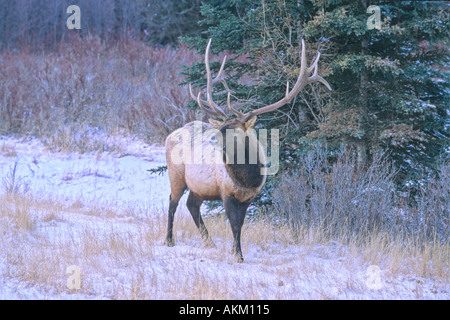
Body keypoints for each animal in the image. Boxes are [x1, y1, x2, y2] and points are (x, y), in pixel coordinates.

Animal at [164, 38, 330, 262]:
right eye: (222, 128)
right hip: (176, 175)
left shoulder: (250, 197)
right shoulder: (226, 192)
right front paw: (239, 256)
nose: (212, 141)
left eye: (234, 130)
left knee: (192, 205)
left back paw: (209, 242)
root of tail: (170, 134)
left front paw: (235, 251)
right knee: (172, 203)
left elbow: (240, 225)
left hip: (199, 186)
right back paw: (169, 240)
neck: (248, 179)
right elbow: (234, 224)